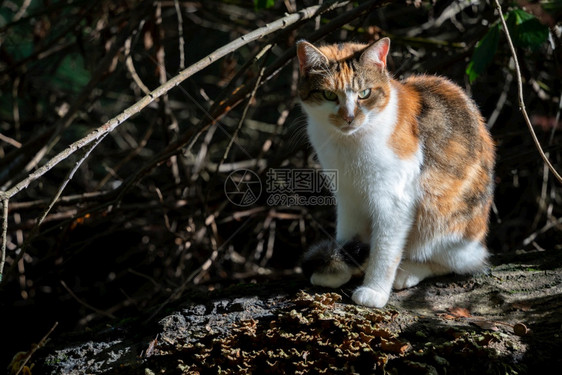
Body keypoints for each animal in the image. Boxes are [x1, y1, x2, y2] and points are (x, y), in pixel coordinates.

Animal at [296, 38, 492, 308]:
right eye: (329, 94)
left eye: (364, 94)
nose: (349, 117)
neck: (348, 144)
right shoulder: (347, 196)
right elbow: (348, 234)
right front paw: (342, 267)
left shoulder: (394, 200)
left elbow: (385, 250)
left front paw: (374, 290)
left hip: (441, 219)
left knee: (460, 263)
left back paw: (408, 270)